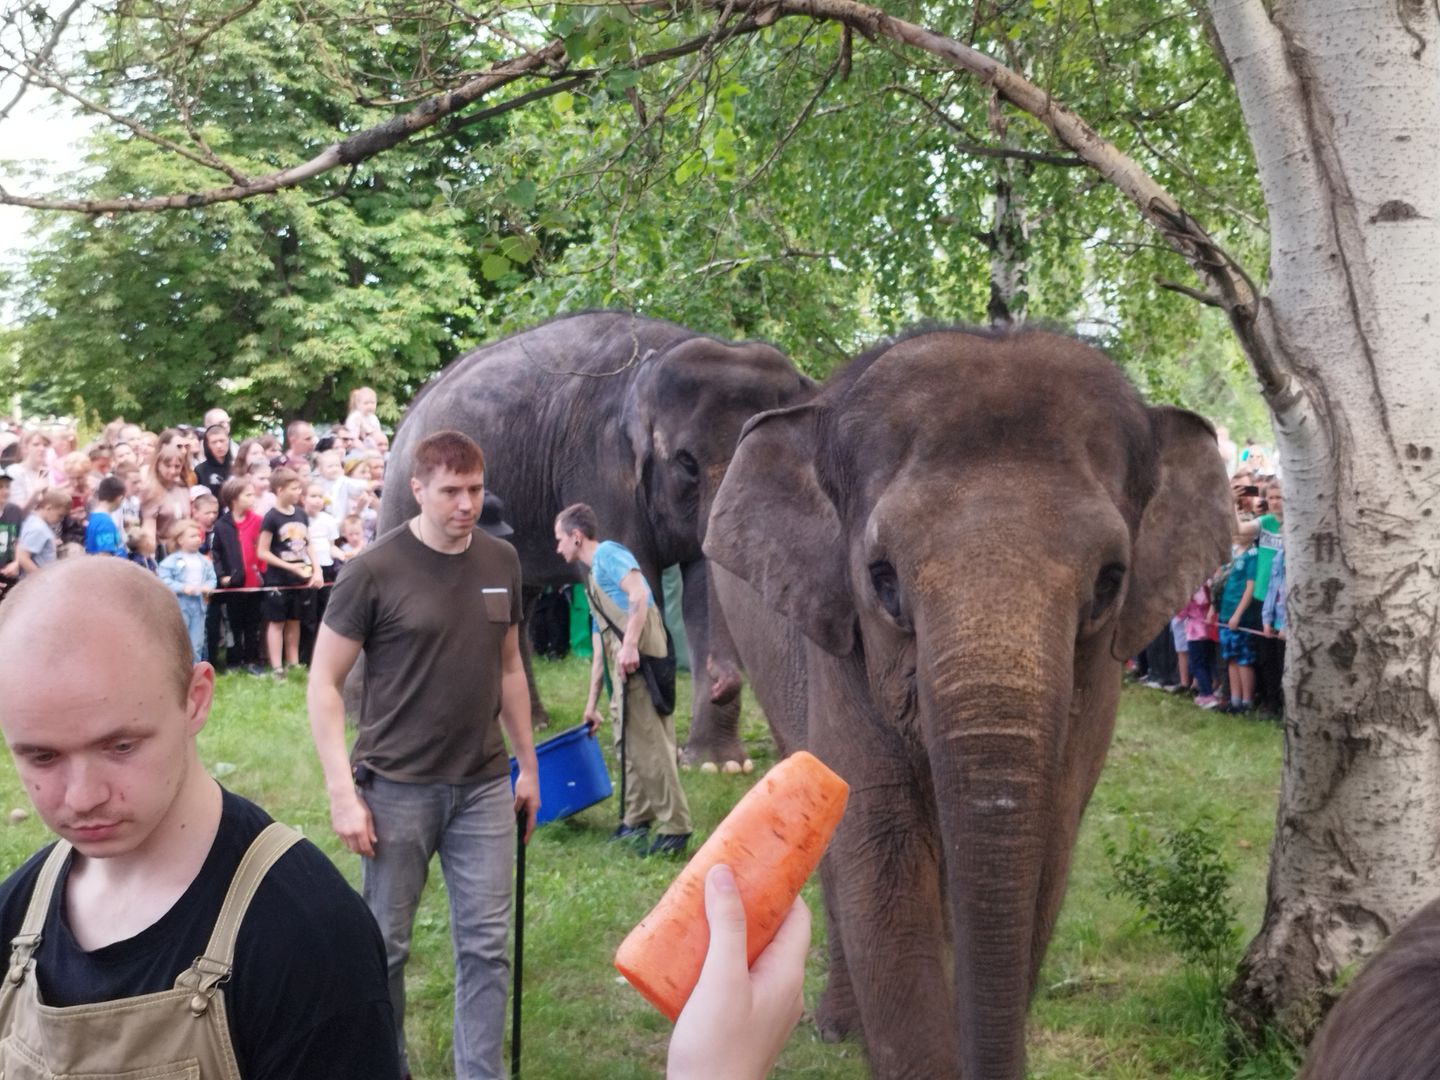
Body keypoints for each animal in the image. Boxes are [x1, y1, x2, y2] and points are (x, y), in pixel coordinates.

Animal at [377, 311, 817, 771]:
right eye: (686, 462)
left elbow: (700, 585)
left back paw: (534, 724)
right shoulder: (600, 464)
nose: (720, 681)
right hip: (406, 492)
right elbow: (641, 587)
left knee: (518, 604)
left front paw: (716, 765)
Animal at [702, 325, 1232, 1077]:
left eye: (1110, 581)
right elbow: (881, 861)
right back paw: (837, 1027)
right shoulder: (840, 652)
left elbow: (1044, 857)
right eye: (883, 579)